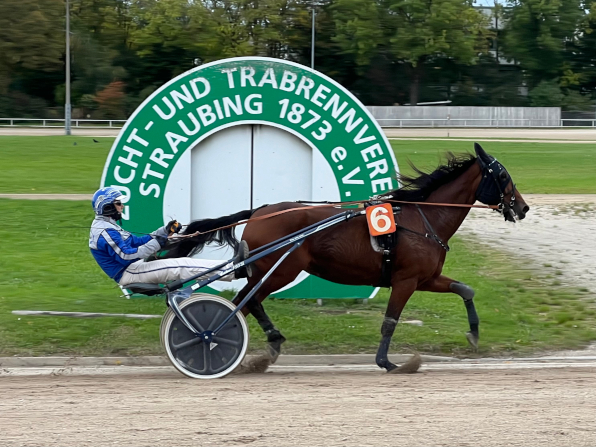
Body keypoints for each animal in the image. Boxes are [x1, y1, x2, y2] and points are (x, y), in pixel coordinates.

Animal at [163, 144, 532, 374]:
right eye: (502, 176)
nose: (524, 207)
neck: (423, 219)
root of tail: (258, 212)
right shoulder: (406, 280)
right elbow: (390, 321)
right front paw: (389, 362)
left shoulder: (425, 278)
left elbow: (466, 290)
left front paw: (473, 335)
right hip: (279, 271)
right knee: (246, 300)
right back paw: (231, 340)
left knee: (247, 300)